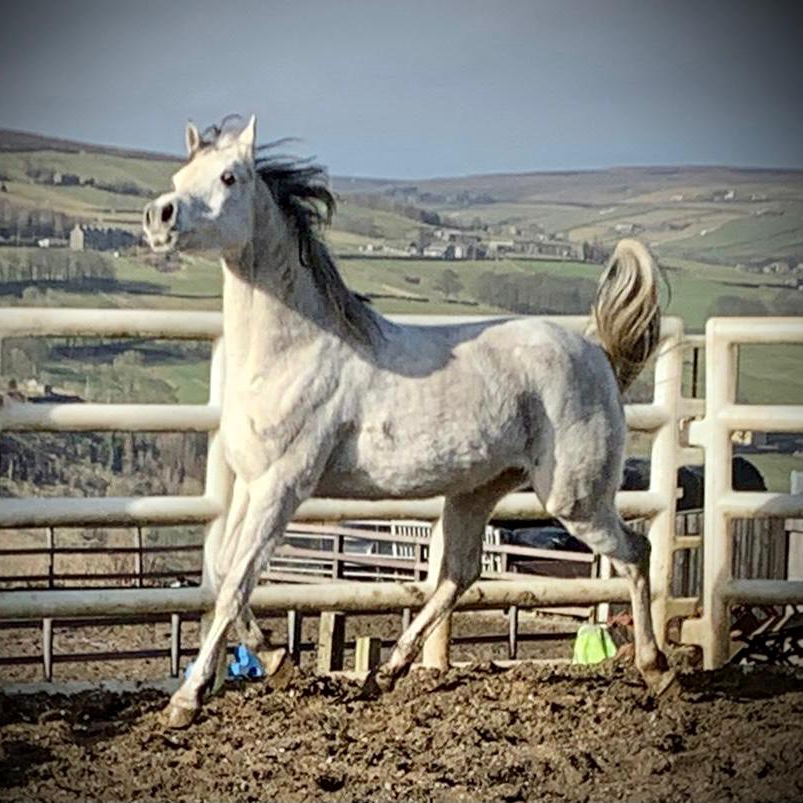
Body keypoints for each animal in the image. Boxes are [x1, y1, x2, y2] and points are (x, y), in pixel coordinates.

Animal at [143, 116, 669, 728]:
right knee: (458, 574)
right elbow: (223, 572)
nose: (159, 217)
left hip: (575, 498)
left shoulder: (283, 486)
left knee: (637, 553)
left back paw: (659, 670)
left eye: (229, 176)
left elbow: (235, 584)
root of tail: (595, 351)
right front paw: (277, 662)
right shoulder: (253, 485)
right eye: (179, 176)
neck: (294, 352)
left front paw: (187, 699)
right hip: (476, 491)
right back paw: (387, 670)